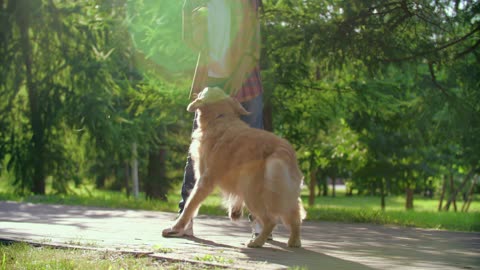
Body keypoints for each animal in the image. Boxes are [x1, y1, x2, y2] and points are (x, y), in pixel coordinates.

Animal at [161, 87, 304, 248]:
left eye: (206, 90)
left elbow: (189, 205)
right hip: (284, 192)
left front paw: (176, 227)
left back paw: (257, 241)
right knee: (295, 215)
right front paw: (235, 211)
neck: (220, 118)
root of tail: (282, 150)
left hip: (253, 194)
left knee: (271, 220)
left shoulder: (205, 180)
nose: (197, 91)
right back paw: (294, 241)